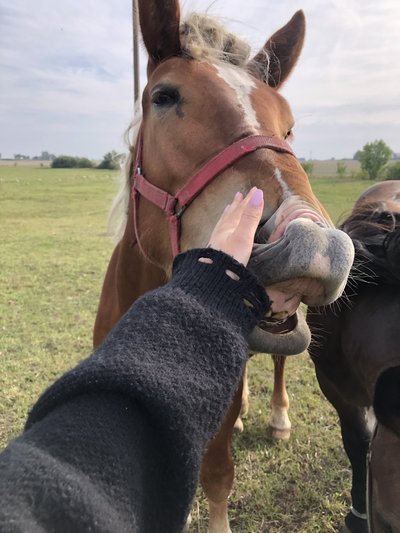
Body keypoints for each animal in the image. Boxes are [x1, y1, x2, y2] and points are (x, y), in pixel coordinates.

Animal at [93, 2, 354, 528]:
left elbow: (216, 476)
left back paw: (276, 416)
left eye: (289, 126)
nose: (311, 242)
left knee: (278, 358)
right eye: (164, 97)